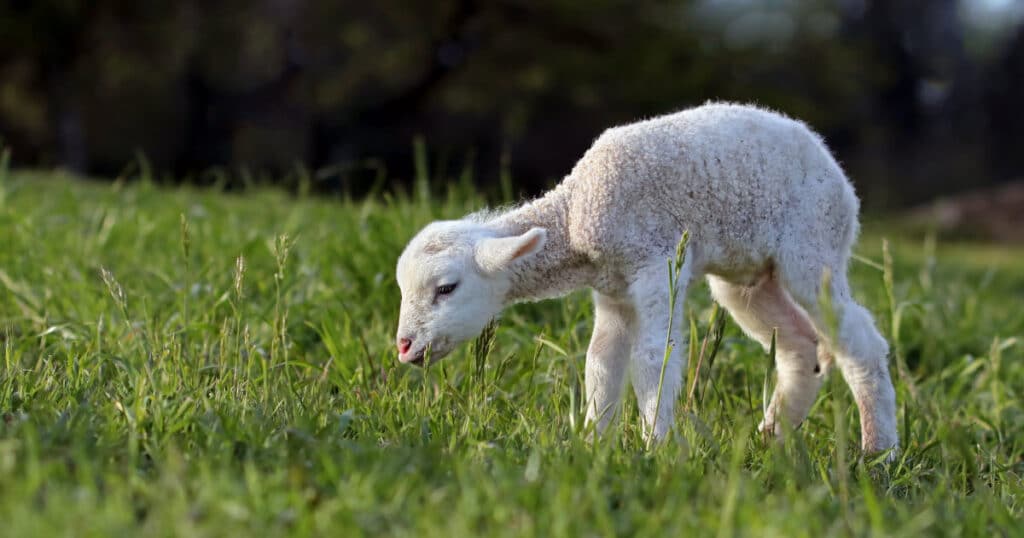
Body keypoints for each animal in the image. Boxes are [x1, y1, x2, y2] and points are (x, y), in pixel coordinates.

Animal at [391, 102, 897, 454]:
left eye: (446, 289)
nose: (405, 348)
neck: (575, 216)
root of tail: (833, 166)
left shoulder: (657, 263)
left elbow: (654, 358)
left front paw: (656, 448)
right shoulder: (613, 289)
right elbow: (601, 362)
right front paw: (594, 444)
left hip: (813, 248)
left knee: (860, 342)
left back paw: (878, 453)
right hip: (747, 279)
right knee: (798, 345)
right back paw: (772, 437)